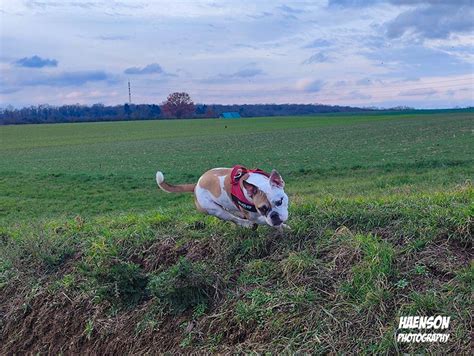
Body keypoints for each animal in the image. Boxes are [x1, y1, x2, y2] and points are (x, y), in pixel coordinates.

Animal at [156, 166, 288, 229]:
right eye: (262, 208)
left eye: (280, 201)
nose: (274, 216)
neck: (257, 183)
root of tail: (196, 185)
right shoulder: (255, 216)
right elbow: (264, 221)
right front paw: (283, 227)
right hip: (215, 211)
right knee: (232, 218)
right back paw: (246, 224)